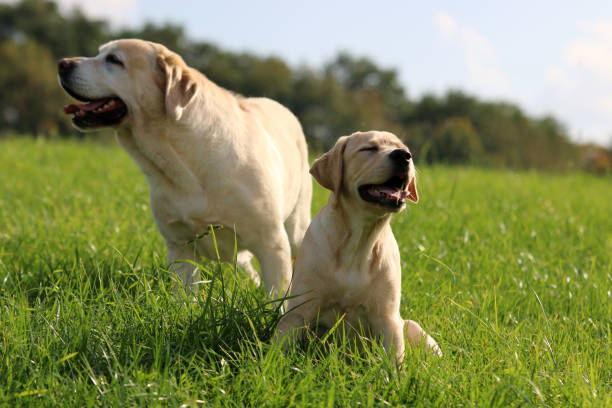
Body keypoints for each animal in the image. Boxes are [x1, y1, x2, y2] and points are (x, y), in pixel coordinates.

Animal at [57, 39, 310, 294]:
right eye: (99, 53)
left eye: (114, 60)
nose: (62, 63)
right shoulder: (180, 245)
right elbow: (185, 295)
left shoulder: (272, 242)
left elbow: (277, 295)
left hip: (297, 227)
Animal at [276, 131, 440, 364]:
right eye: (369, 149)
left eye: (404, 149)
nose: (403, 156)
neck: (359, 240)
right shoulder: (299, 310)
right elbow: (279, 349)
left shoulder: (388, 317)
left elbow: (394, 360)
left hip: (412, 328)